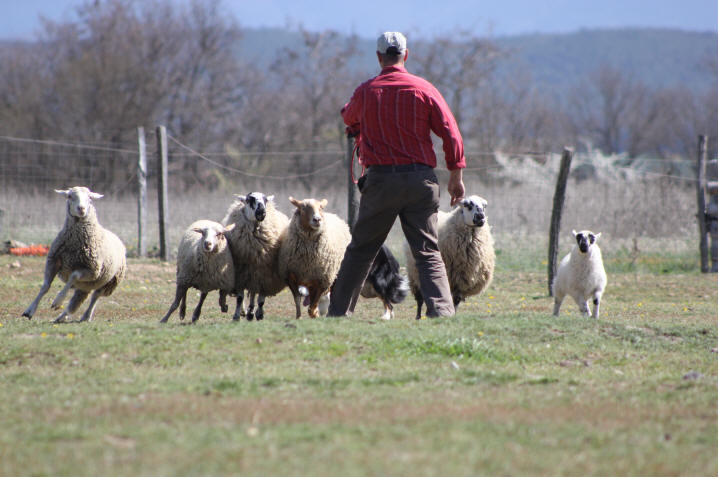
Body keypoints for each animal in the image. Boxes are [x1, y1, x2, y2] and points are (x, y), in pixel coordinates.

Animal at [21, 186, 128, 324]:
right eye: (69, 196)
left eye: (90, 198)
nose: (81, 208)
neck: (75, 242)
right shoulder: (53, 261)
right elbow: (45, 286)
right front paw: (29, 311)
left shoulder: (92, 270)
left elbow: (73, 276)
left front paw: (58, 301)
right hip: (86, 285)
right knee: (78, 299)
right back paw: (62, 317)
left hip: (109, 281)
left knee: (95, 296)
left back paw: (85, 316)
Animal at [222, 192, 290, 320]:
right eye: (249, 200)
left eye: (265, 200)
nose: (261, 212)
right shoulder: (240, 274)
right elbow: (240, 298)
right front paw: (236, 316)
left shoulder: (265, 274)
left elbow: (261, 300)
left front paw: (259, 314)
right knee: (251, 292)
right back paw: (247, 312)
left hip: (255, 274)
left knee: (254, 292)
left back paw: (251, 312)